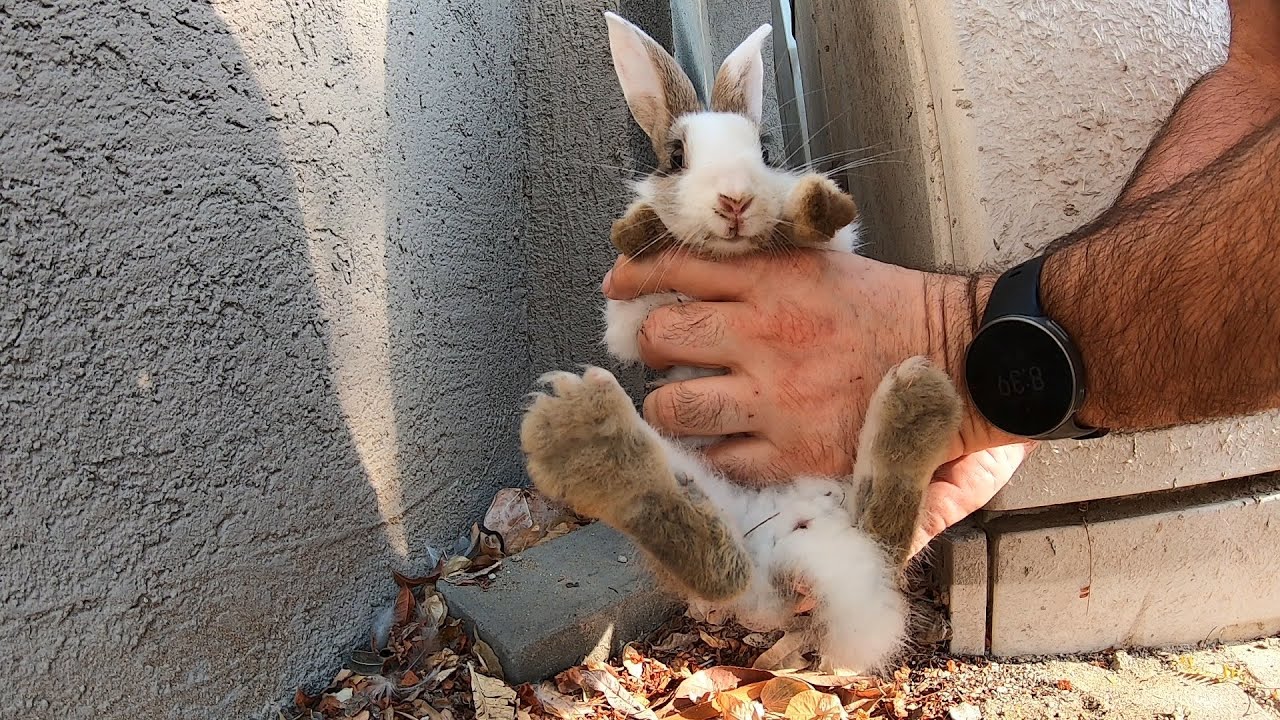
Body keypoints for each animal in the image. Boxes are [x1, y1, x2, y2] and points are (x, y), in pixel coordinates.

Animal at [519, 12, 961, 673]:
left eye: (766, 150)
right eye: (676, 156)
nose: (734, 198)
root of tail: (805, 539)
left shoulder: (835, 248)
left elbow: (822, 228)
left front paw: (815, 204)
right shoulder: (630, 315)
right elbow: (634, 292)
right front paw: (641, 226)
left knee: (879, 535)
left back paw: (918, 406)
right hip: (718, 512)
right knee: (723, 573)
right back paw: (587, 439)